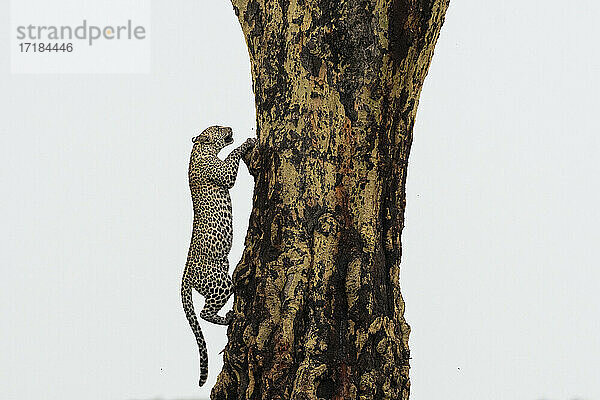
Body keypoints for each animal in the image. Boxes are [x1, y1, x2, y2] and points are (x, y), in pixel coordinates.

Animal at [178, 126, 253, 388]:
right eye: (218, 128)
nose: (229, 127)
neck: (199, 150)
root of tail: (185, 276)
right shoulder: (224, 173)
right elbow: (231, 156)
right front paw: (248, 142)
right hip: (220, 283)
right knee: (203, 312)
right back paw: (229, 317)